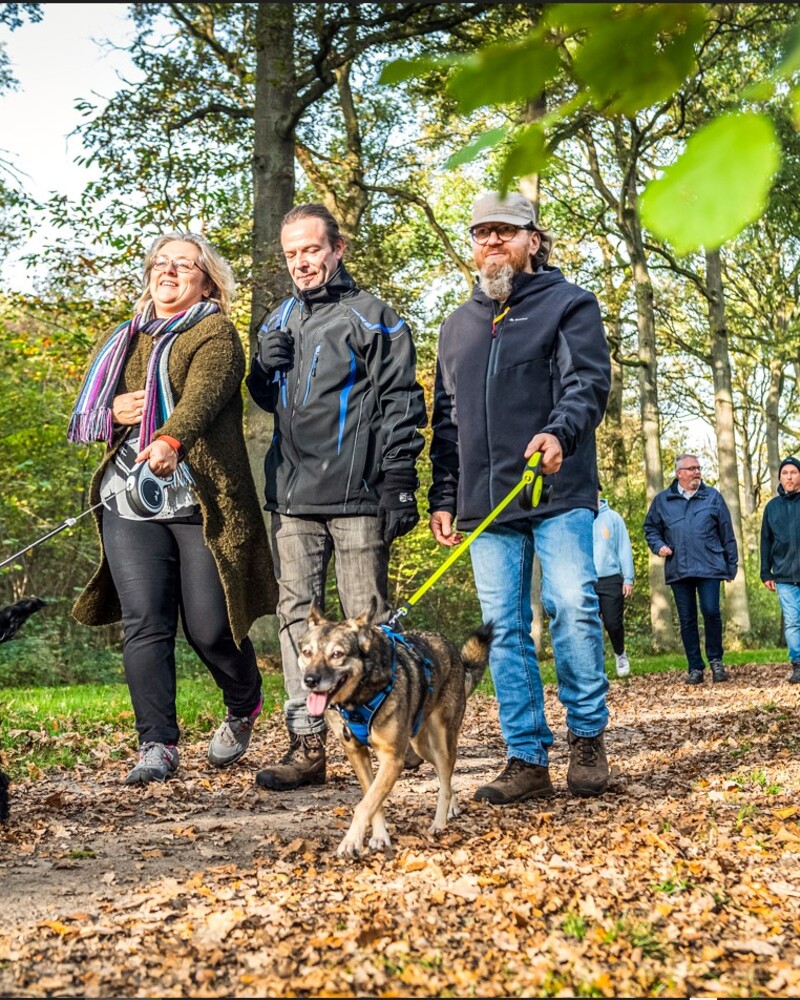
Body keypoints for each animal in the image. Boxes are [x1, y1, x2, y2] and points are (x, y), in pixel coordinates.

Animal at [298, 600, 490, 860]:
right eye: (307, 652)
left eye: (337, 654)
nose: (310, 680)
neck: (360, 697)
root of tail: (451, 649)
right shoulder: (358, 754)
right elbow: (373, 799)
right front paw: (380, 836)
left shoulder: (392, 758)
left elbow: (365, 804)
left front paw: (351, 841)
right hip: (420, 746)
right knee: (445, 778)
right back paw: (452, 806)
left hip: (441, 741)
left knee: (446, 776)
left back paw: (439, 823)